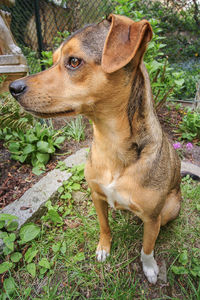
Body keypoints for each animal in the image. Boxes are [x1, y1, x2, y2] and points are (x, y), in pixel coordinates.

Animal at [9, 14, 181, 284]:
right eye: (54, 60)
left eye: (74, 61)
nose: (12, 88)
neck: (111, 143)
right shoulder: (97, 196)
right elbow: (104, 226)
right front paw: (103, 248)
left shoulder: (153, 217)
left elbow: (147, 246)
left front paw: (150, 266)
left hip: (170, 208)